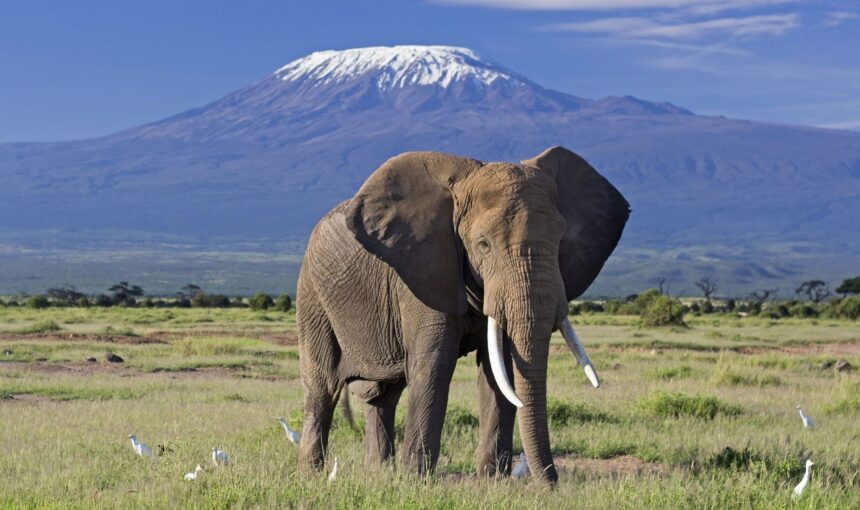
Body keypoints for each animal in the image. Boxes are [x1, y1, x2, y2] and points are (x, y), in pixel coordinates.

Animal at [294, 145, 624, 484]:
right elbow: (434, 365)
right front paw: (417, 481)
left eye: (560, 242)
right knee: (323, 387)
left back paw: (379, 475)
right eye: (483, 245)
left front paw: (493, 481)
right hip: (312, 295)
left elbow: (499, 367)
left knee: (383, 395)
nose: (552, 485)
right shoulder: (423, 272)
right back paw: (312, 476)